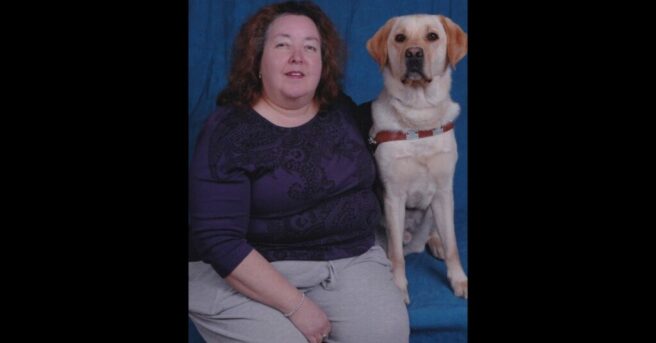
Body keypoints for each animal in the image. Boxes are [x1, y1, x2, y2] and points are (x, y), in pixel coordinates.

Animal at [368, 14, 466, 304]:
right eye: (400, 38)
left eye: (432, 36)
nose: (413, 53)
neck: (418, 116)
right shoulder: (394, 196)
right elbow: (397, 256)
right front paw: (398, 287)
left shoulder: (444, 191)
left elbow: (453, 244)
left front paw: (459, 279)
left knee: (437, 231)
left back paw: (435, 242)